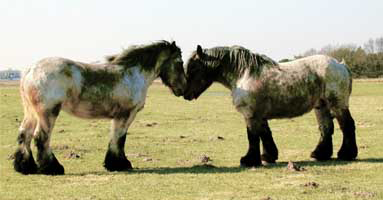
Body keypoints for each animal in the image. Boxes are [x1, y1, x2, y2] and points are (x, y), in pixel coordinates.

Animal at [14, 41, 188, 175]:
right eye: (179, 63)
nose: (183, 89)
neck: (133, 75)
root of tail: (30, 70)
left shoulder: (118, 117)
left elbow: (115, 138)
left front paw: (113, 163)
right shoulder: (126, 115)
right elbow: (120, 139)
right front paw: (120, 164)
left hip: (31, 113)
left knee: (25, 135)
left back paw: (26, 167)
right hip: (48, 113)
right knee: (41, 138)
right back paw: (53, 168)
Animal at [184, 45, 358, 167]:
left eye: (194, 67)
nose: (185, 94)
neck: (243, 74)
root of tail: (341, 65)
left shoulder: (250, 114)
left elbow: (253, 136)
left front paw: (249, 160)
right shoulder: (259, 115)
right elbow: (265, 134)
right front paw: (268, 156)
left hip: (337, 104)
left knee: (347, 126)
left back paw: (346, 154)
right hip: (321, 106)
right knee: (326, 128)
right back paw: (320, 154)